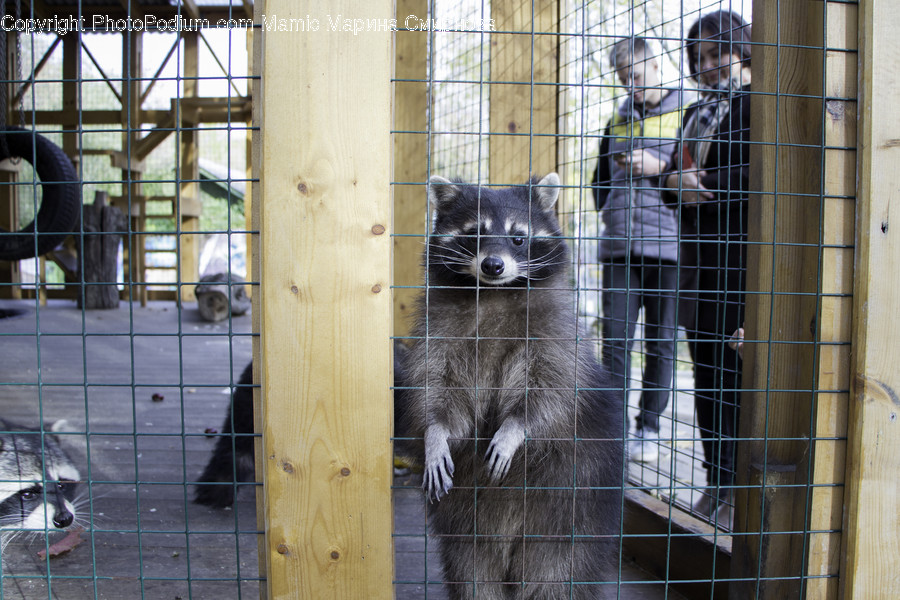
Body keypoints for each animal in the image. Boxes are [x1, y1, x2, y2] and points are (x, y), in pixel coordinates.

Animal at [399, 173, 625, 599]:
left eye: (518, 238)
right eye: (475, 234)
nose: (493, 265)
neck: (492, 292)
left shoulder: (555, 335)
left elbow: (551, 390)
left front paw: (514, 429)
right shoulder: (438, 334)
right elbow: (437, 391)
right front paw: (435, 434)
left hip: (569, 515)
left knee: (556, 576)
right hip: (467, 529)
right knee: (473, 572)